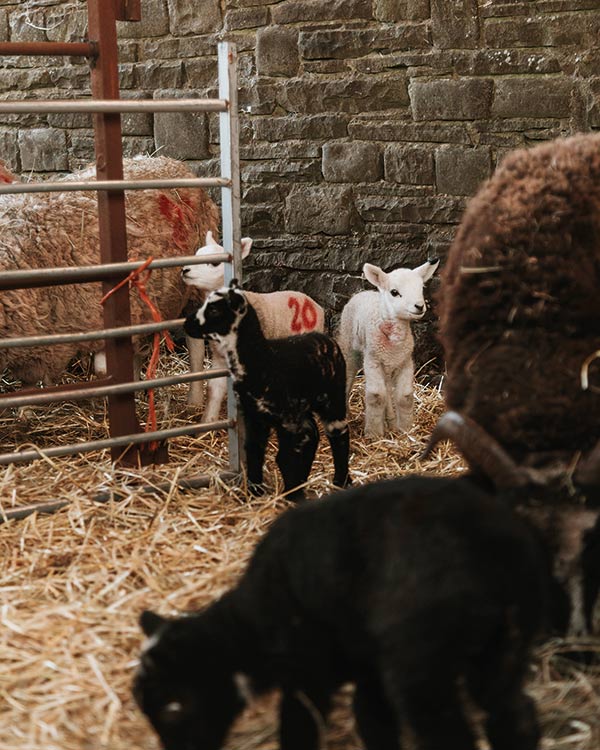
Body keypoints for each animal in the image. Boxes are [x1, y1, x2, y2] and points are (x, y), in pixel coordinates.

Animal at [134, 478, 576, 750]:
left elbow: (299, 730)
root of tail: (496, 551)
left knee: (449, 734)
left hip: (420, 658)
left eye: (173, 706)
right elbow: (372, 722)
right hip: (506, 643)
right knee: (514, 716)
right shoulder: (366, 667)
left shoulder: (308, 670)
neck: (251, 628)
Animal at [182, 234, 324, 424]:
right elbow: (214, 389)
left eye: (215, 263)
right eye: (197, 254)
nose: (185, 270)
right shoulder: (219, 358)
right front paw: (208, 421)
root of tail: (314, 304)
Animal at [185, 282, 350, 500]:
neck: (262, 358)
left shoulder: (287, 419)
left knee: (338, 433)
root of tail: (325, 337)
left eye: (213, 310)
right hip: (301, 408)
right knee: (312, 433)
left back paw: (341, 480)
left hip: (331, 399)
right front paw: (255, 491)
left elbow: (286, 457)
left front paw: (292, 495)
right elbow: (254, 450)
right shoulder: (255, 417)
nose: (186, 323)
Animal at [338, 260, 440, 438]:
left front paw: (405, 430)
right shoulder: (373, 360)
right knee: (348, 377)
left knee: (387, 388)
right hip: (349, 347)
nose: (419, 306)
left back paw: (390, 422)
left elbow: (405, 397)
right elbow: (377, 395)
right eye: (394, 292)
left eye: (420, 288)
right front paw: (374, 434)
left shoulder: (405, 361)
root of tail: (362, 292)